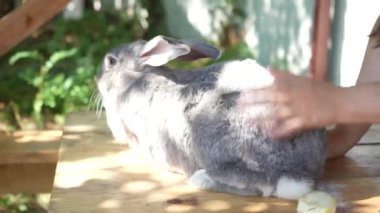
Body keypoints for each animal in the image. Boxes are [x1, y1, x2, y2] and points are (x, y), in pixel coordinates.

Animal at [95, 35, 326, 200]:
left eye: (111, 61)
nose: (96, 78)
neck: (135, 79)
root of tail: (298, 174)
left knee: (260, 187)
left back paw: (201, 179)